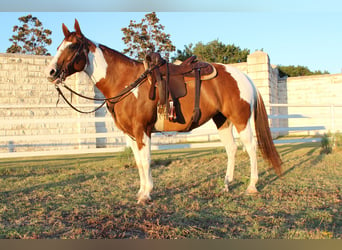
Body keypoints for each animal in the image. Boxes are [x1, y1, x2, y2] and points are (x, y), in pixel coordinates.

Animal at [45, 19, 280, 203]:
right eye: (58, 46)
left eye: (72, 47)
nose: (51, 72)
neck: (127, 82)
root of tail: (244, 77)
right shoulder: (130, 134)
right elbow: (139, 162)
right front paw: (141, 191)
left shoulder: (142, 131)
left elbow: (146, 160)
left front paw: (147, 194)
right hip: (222, 121)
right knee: (231, 149)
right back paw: (226, 184)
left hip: (241, 120)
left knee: (251, 148)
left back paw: (251, 186)